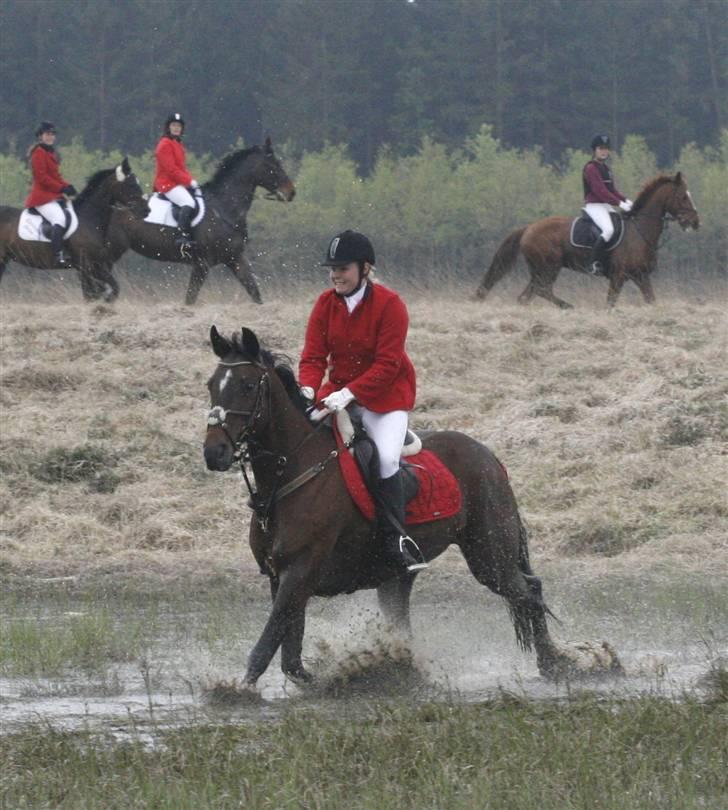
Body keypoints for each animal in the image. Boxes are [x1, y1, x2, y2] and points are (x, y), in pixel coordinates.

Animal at [0, 160, 148, 304]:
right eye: (131, 184)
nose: (146, 210)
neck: (89, 218)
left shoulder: (96, 265)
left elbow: (98, 292)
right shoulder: (87, 265)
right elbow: (104, 290)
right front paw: (106, 301)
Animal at [103, 137, 296, 304]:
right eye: (273, 165)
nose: (291, 193)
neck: (223, 207)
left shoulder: (235, 258)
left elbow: (255, 292)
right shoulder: (202, 264)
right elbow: (190, 298)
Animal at [203, 326, 620, 692]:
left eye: (246, 386)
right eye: (211, 385)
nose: (214, 453)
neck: (290, 476)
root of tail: (488, 456)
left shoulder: (299, 572)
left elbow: (268, 642)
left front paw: (235, 690)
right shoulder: (284, 578)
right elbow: (290, 653)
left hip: (489, 557)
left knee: (528, 592)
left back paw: (557, 663)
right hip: (398, 575)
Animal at [474, 172, 704, 308]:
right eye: (683, 196)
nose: (695, 221)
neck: (639, 232)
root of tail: (528, 228)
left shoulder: (641, 276)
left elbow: (651, 301)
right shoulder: (618, 277)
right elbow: (610, 303)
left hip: (539, 271)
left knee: (527, 296)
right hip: (549, 268)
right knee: (542, 291)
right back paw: (568, 306)